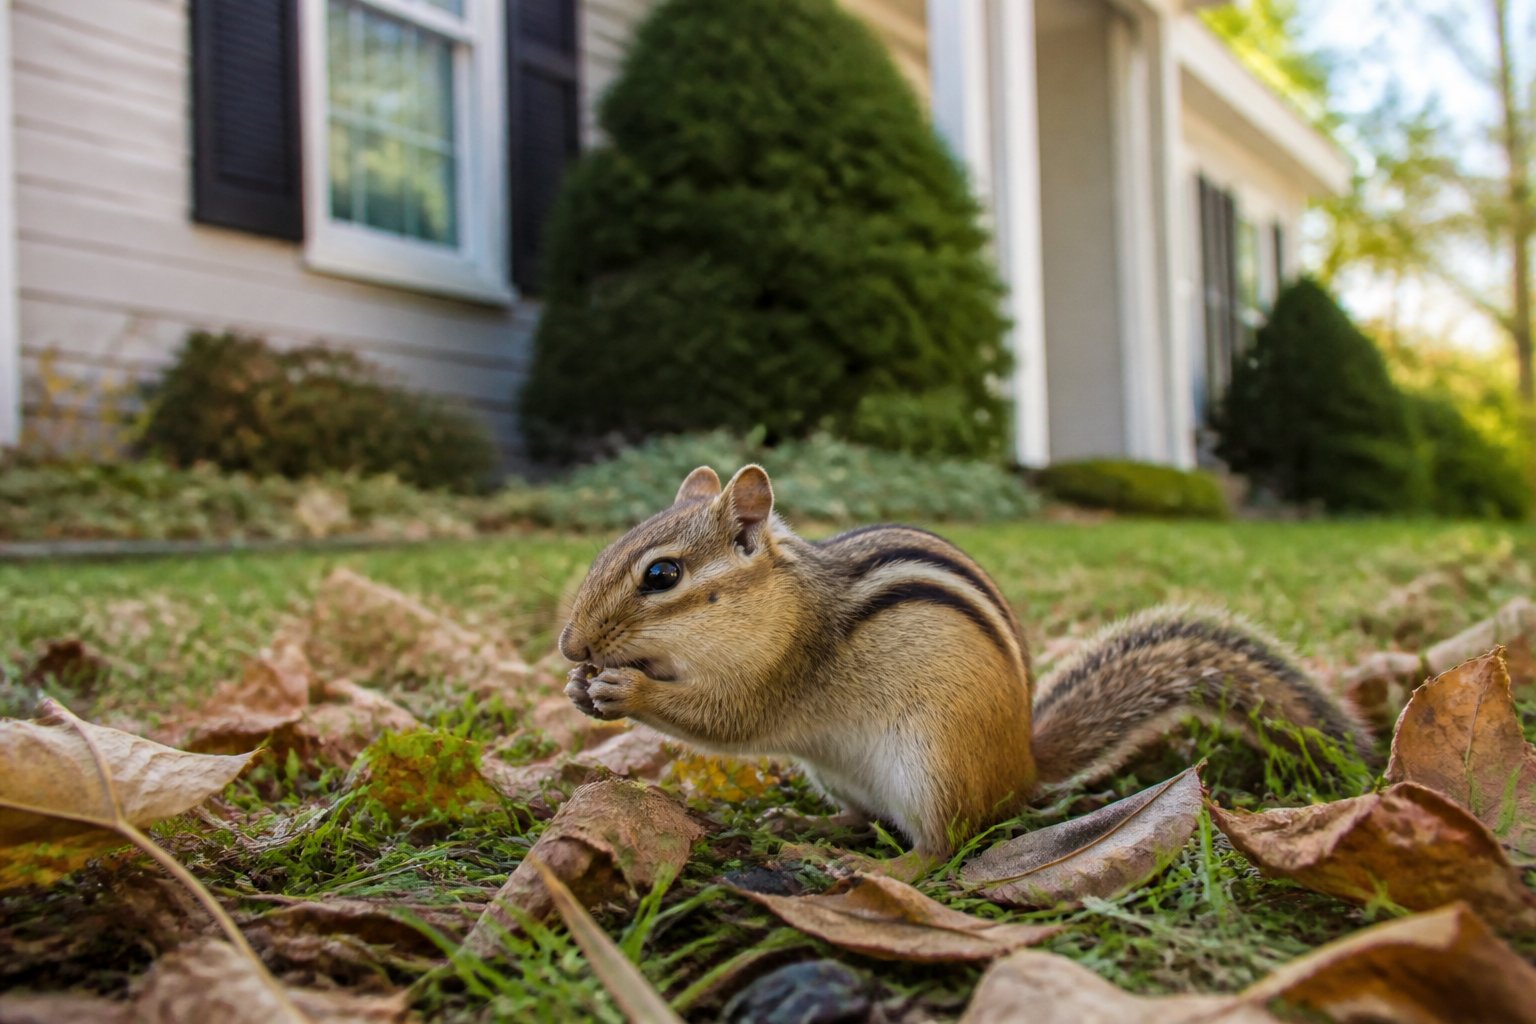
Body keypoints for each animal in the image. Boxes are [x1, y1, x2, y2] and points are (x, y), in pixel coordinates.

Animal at [561, 464, 1369, 878]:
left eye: (661, 575)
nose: (570, 646)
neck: (782, 602)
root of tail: (1021, 766)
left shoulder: (779, 674)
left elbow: (727, 720)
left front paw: (625, 686)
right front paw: (581, 688)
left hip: (933, 762)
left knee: (940, 848)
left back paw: (869, 869)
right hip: (839, 769)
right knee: (862, 815)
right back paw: (806, 825)